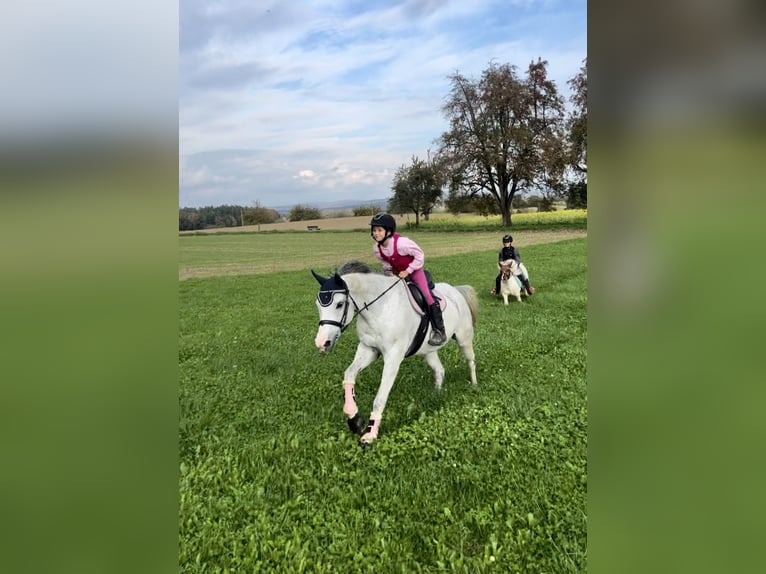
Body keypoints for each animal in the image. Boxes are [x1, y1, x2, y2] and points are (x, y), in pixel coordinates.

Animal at [312, 260, 480, 446]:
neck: (379, 309)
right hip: (428, 351)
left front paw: (369, 435)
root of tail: (456, 290)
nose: (322, 343)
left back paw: (474, 386)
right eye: (318, 305)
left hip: (464, 338)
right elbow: (349, 374)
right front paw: (355, 420)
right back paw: (436, 395)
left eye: (339, 304)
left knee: (471, 361)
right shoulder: (368, 349)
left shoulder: (393, 357)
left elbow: (380, 398)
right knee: (439, 370)